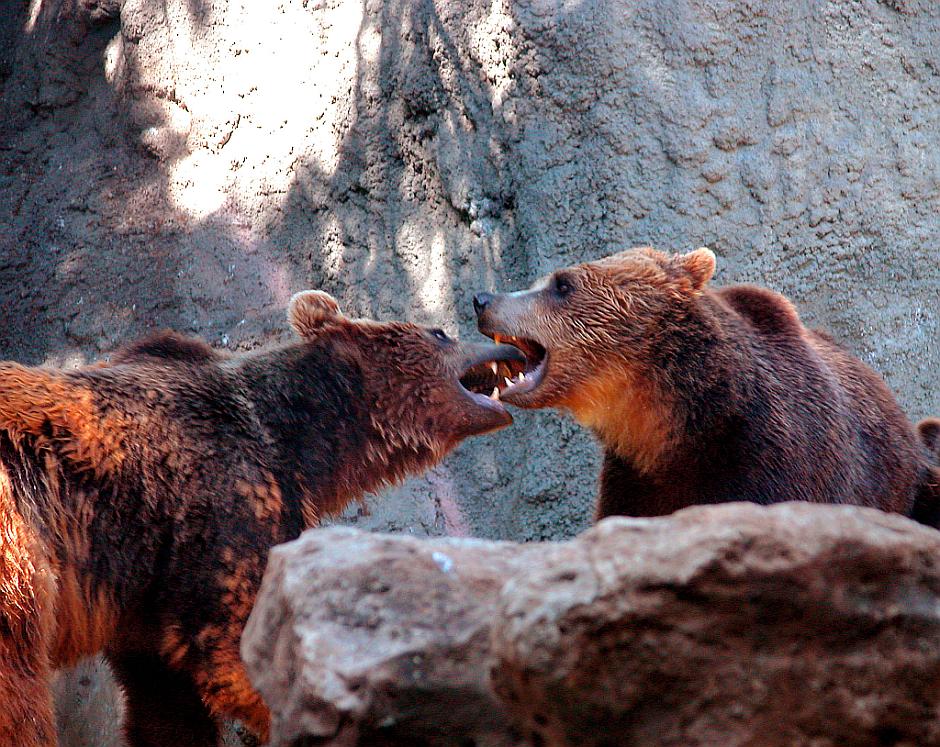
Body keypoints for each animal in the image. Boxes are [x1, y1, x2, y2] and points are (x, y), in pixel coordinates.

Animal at [0, 290, 520, 747]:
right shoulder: (228, 500)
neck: (296, 441)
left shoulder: (151, 592)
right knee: (19, 682)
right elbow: (232, 645)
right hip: (18, 544)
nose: (506, 345)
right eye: (439, 333)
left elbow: (166, 701)